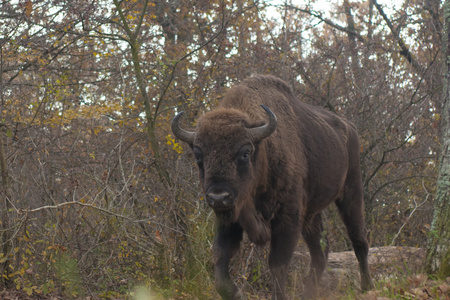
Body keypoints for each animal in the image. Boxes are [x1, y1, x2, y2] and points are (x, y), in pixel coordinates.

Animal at [171, 74, 372, 298]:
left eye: (245, 153)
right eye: (199, 156)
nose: (218, 197)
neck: (263, 152)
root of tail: (350, 128)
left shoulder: (287, 218)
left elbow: (277, 264)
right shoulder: (229, 219)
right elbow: (220, 258)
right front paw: (237, 294)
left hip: (351, 191)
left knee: (358, 240)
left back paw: (367, 286)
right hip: (311, 213)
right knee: (320, 250)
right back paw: (309, 293)